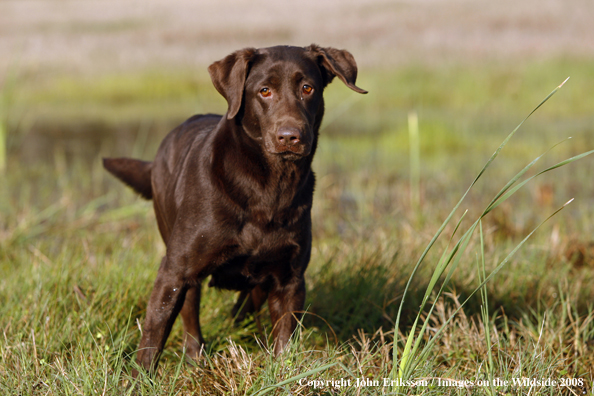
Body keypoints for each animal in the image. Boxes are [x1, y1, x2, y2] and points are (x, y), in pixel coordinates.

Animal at [104, 44, 366, 374]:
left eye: (308, 88)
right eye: (264, 91)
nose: (290, 136)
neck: (269, 188)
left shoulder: (290, 279)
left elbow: (284, 338)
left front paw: (281, 374)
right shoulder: (174, 273)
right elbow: (154, 334)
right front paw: (140, 378)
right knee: (190, 315)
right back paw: (195, 358)